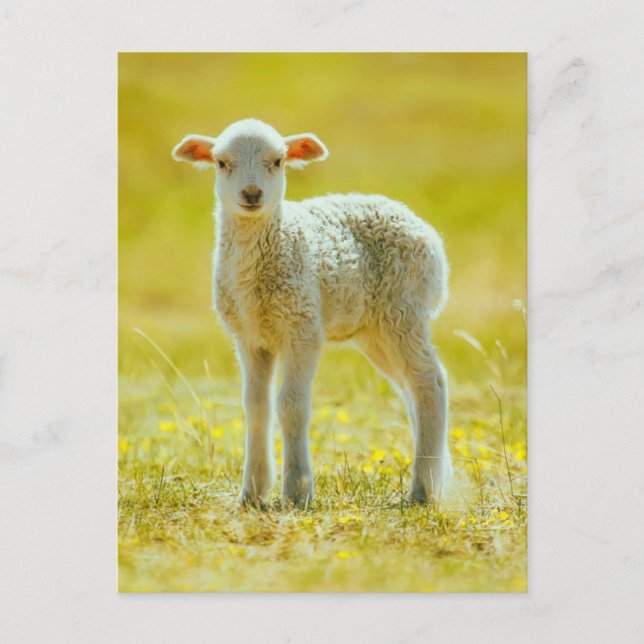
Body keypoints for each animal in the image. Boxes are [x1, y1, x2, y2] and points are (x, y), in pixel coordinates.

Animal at [172, 118, 452, 507]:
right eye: (221, 163)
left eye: (278, 161)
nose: (252, 194)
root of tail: (424, 230)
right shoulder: (249, 335)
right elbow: (256, 407)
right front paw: (253, 492)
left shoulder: (302, 327)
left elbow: (291, 406)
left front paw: (297, 491)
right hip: (375, 330)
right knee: (412, 389)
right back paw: (433, 478)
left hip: (404, 310)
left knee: (431, 383)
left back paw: (422, 491)